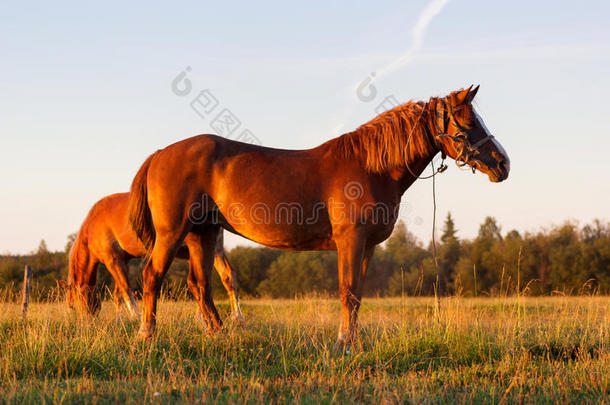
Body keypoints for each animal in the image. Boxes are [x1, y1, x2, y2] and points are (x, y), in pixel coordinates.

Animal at [57, 191, 242, 320]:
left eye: (74, 305)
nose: (85, 322)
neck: (93, 225)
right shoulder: (123, 260)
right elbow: (118, 293)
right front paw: (121, 319)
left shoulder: (112, 259)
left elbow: (125, 288)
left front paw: (136, 316)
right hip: (214, 249)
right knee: (226, 276)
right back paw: (235, 318)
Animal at [126, 87, 506, 342]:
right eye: (468, 122)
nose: (503, 164)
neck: (371, 168)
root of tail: (161, 153)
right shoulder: (350, 241)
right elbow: (347, 291)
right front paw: (344, 343)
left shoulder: (367, 246)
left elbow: (357, 294)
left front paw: (354, 341)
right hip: (173, 233)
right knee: (152, 276)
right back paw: (147, 335)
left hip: (202, 234)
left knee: (200, 285)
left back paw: (218, 335)